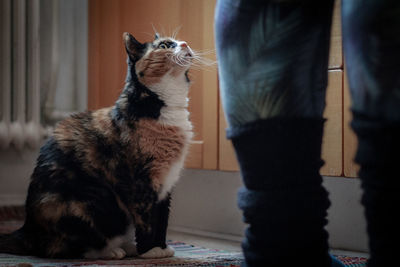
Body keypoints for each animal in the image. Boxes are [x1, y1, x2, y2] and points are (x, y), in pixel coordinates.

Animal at [0, 31, 194, 260]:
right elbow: (147, 219)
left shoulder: (166, 183)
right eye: (164, 45)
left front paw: (162, 248)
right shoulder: (140, 182)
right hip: (94, 202)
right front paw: (150, 251)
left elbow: (162, 218)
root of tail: (27, 229)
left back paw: (128, 247)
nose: (186, 43)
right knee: (63, 249)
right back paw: (112, 252)